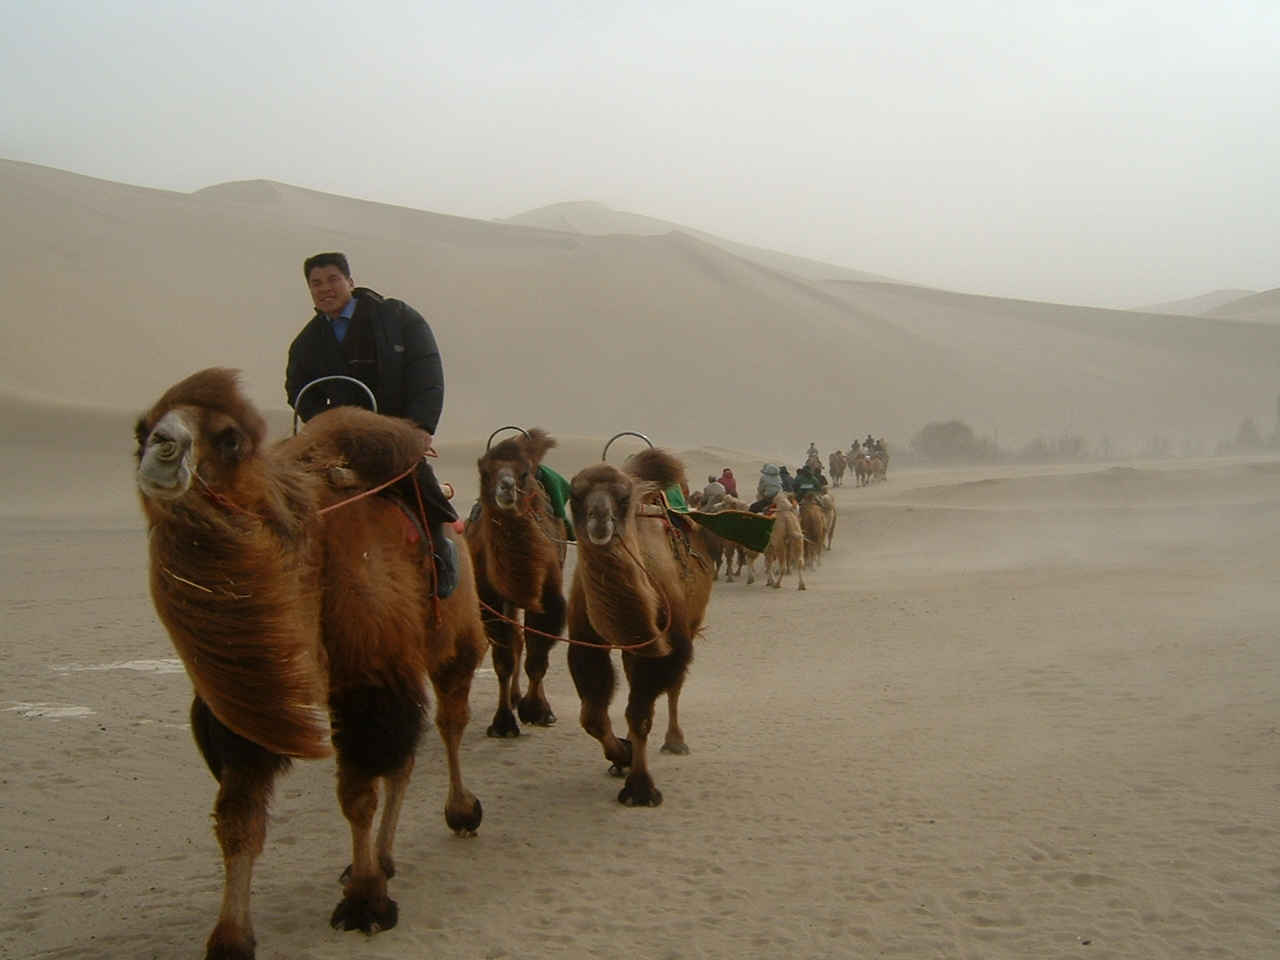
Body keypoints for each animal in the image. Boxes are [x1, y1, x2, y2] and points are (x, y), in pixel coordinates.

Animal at [135, 368, 483, 960]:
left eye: (230, 439)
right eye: (140, 429)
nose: (162, 450)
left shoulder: (366, 677)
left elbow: (357, 796)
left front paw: (366, 902)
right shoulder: (250, 703)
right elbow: (238, 816)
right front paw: (230, 937)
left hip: (454, 637)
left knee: (449, 722)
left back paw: (460, 811)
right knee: (406, 757)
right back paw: (385, 856)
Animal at [465, 427, 570, 737]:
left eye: (523, 473)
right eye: (485, 471)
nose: (507, 488)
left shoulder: (548, 596)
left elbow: (538, 658)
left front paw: (537, 710)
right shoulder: (489, 599)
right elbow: (504, 661)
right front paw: (503, 723)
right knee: (516, 641)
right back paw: (512, 698)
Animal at [565, 450, 716, 803]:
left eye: (623, 497)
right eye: (574, 494)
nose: (599, 519)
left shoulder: (667, 644)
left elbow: (640, 714)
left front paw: (640, 788)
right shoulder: (586, 640)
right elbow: (592, 716)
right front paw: (622, 754)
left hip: (690, 621)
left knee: (674, 687)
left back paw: (676, 741)